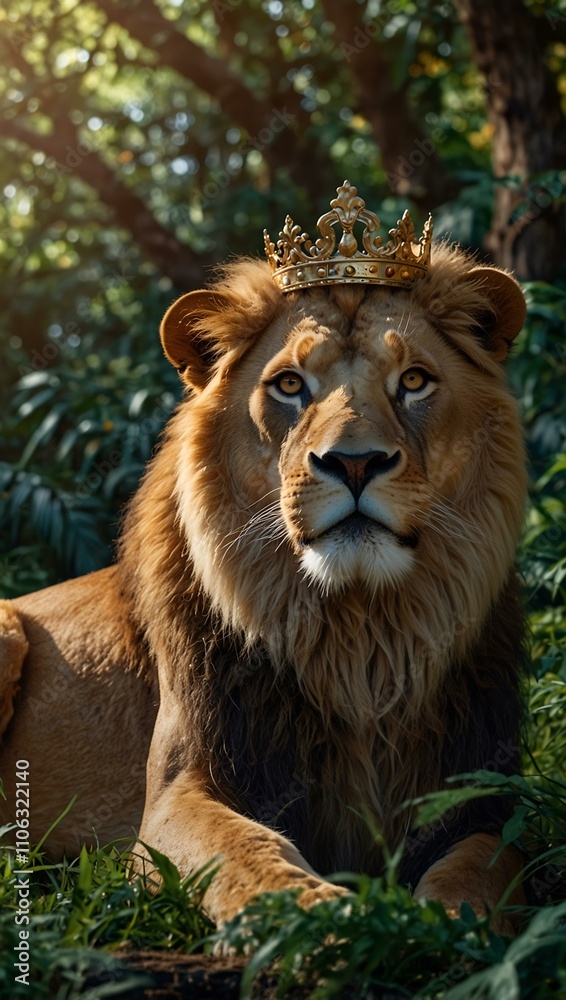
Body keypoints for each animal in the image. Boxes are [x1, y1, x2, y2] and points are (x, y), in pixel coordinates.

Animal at [0, 189, 529, 929]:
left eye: (415, 381)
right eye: (288, 386)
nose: (355, 463)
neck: (361, 638)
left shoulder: (485, 795)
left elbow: (482, 870)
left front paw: (446, 928)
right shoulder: (176, 796)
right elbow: (248, 851)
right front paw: (326, 923)